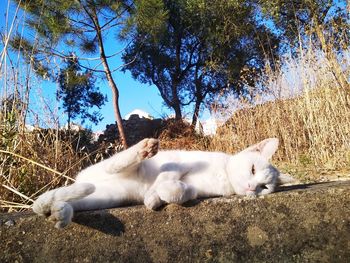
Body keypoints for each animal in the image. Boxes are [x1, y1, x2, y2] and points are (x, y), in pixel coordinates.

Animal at [32, 138, 292, 229]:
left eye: (264, 188)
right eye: (252, 169)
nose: (251, 188)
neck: (223, 176)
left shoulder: (197, 190)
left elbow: (182, 192)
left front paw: (156, 198)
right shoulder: (179, 162)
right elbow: (168, 177)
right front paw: (156, 193)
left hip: (103, 197)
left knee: (59, 202)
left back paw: (58, 212)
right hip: (116, 169)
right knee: (116, 164)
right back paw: (144, 149)